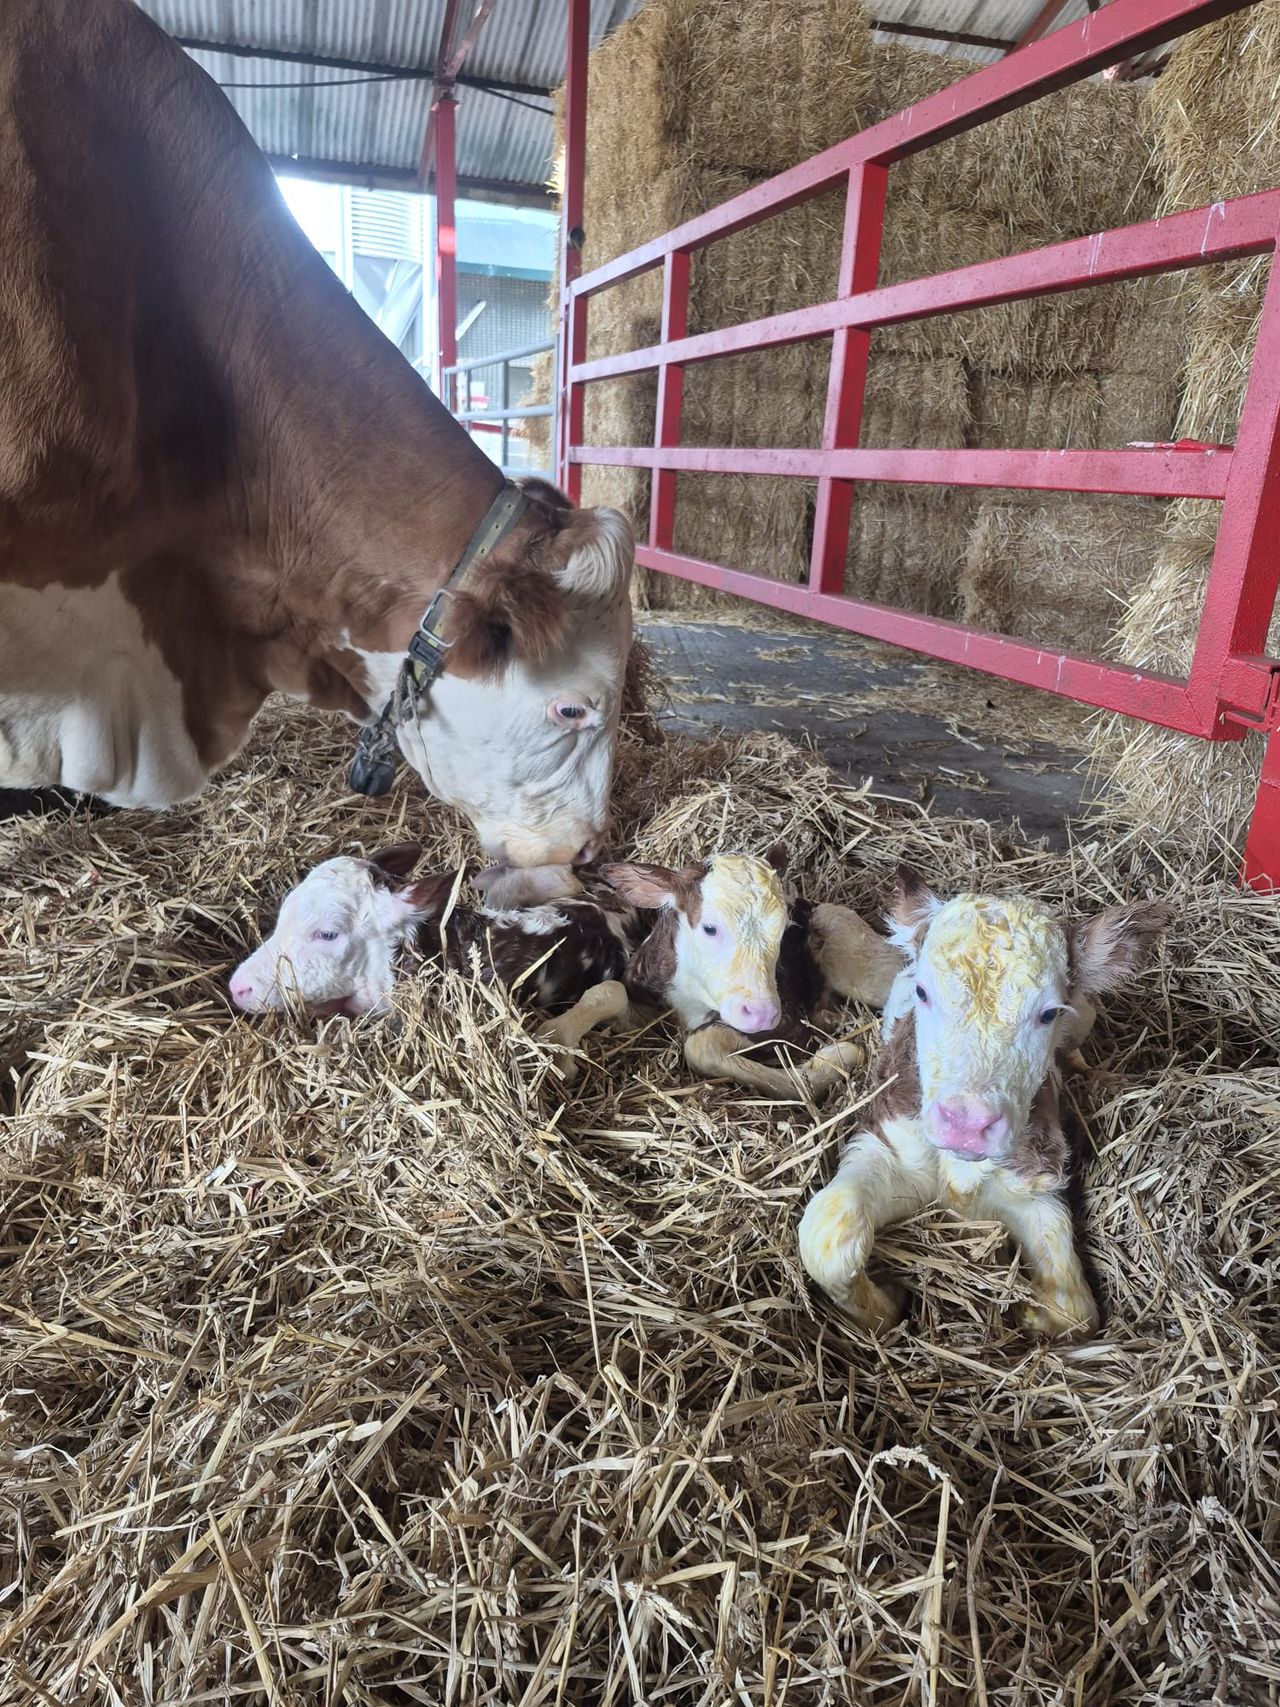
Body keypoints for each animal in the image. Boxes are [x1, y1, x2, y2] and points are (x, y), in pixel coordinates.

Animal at [798, 871, 1173, 1339]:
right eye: (922, 992)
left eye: (1048, 1013)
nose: (966, 1125)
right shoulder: (883, 1143)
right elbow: (830, 1237)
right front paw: (888, 1305)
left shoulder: (1037, 1184)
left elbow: (1074, 1310)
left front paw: (1026, 1313)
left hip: (1085, 1015)